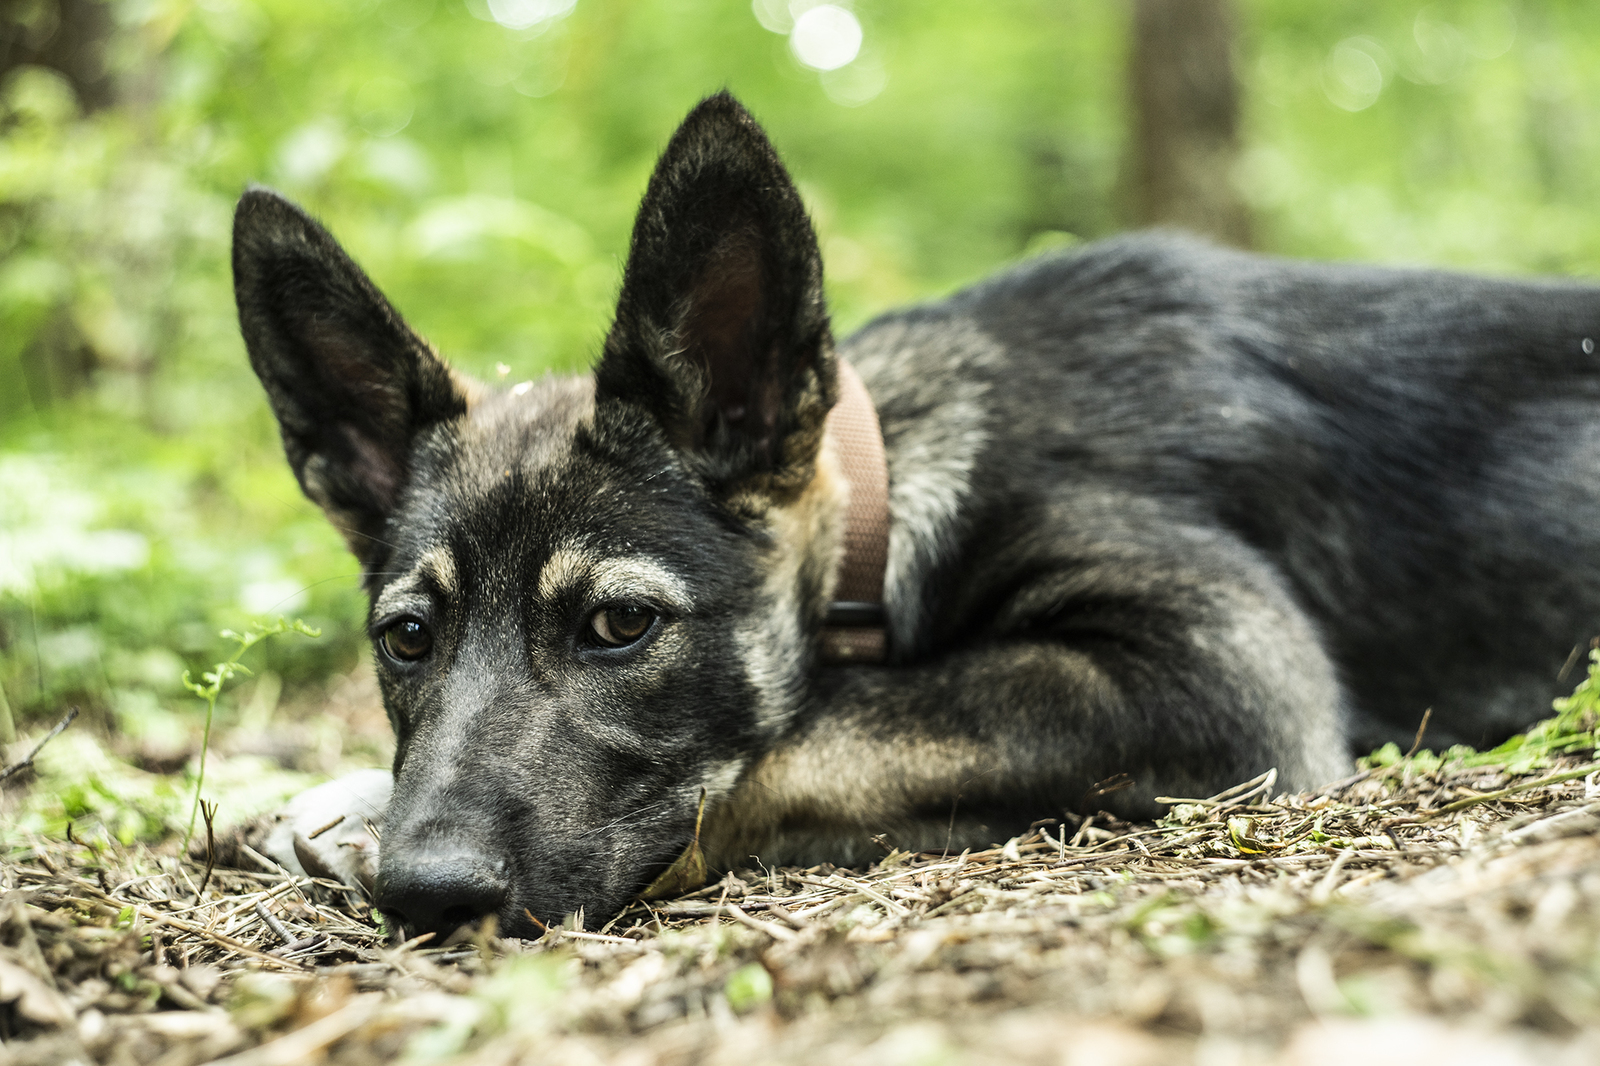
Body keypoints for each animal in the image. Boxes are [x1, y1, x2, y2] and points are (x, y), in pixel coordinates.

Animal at [232, 93, 1600, 941]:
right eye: (407, 639)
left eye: (620, 625)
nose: (426, 893)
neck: (889, 509)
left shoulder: (1225, 668)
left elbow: (817, 734)